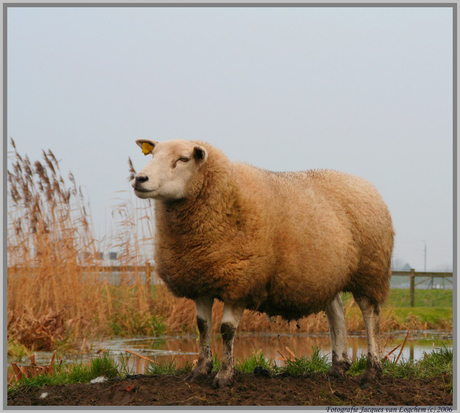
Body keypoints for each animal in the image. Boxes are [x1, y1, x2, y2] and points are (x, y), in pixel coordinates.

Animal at [132, 138, 396, 386]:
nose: (139, 179)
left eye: (184, 159)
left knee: (370, 315)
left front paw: (225, 375)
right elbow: (203, 326)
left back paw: (372, 371)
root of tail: (366, 184)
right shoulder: (200, 281)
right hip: (327, 273)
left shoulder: (240, 280)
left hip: (370, 270)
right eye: (153, 154)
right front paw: (200, 370)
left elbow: (226, 330)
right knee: (337, 313)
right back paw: (338, 368)